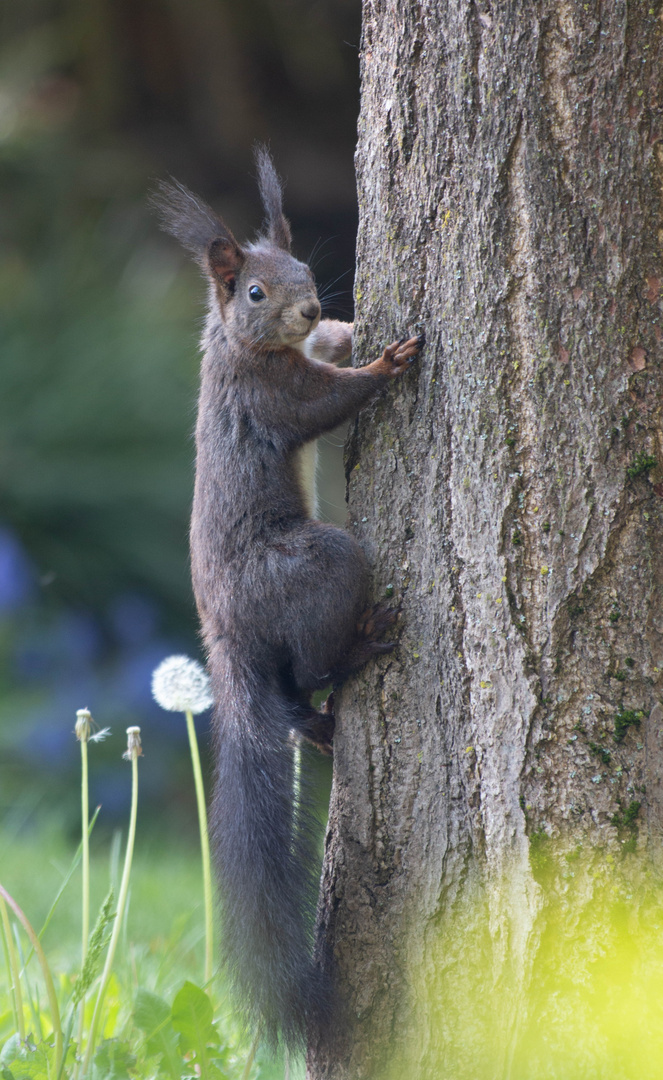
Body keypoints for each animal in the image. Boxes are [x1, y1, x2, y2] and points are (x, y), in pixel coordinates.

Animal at [152, 152, 425, 1054]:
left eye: (304, 270)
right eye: (252, 292)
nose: (308, 305)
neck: (238, 348)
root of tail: (224, 636)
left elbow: (330, 349)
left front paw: (349, 327)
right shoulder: (272, 397)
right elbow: (326, 401)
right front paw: (383, 366)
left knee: (295, 699)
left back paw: (322, 728)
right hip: (314, 567)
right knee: (307, 668)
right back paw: (361, 646)